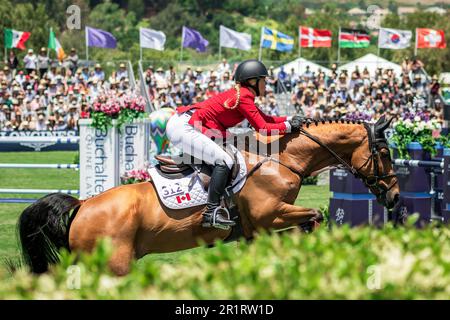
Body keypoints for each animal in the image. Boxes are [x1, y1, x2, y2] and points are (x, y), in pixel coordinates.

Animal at [17, 116, 400, 276]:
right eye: (384, 152)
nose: (395, 197)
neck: (280, 159)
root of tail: (82, 205)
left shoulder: (262, 227)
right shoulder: (269, 214)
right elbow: (316, 216)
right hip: (114, 264)